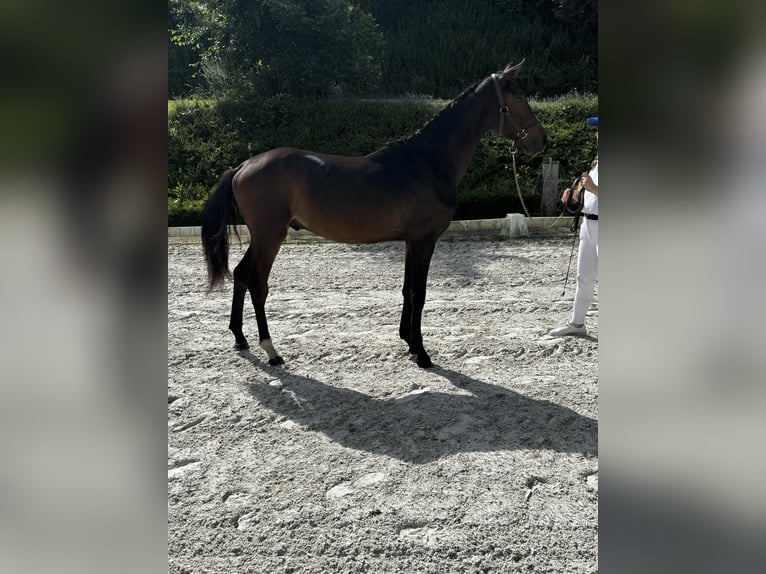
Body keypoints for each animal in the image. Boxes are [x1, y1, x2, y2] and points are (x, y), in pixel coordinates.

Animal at [198, 62, 544, 368]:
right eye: (519, 99)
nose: (541, 140)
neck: (429, 162)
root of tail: (243, 166)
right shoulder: (424, 241)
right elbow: (419, 293)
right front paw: (422, 353)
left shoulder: (410, 242)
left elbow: (407, 290)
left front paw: (408, 341)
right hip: (270, 236)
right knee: (258, 285)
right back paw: (271, 350)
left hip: (261, 237)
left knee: (241, 275)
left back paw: (240, 338)